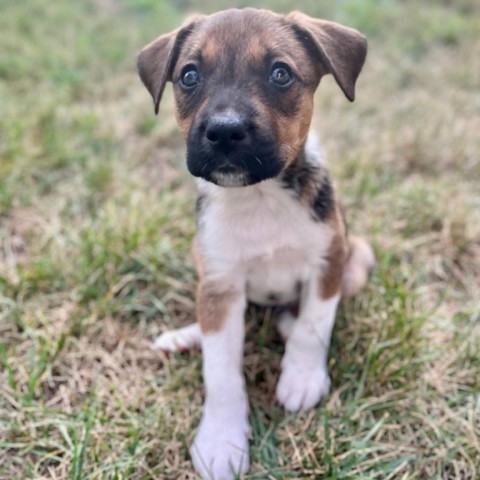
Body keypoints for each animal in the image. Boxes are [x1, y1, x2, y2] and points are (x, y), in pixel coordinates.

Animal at [137, 8, 374, 480]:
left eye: (280, 74)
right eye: (189, 75)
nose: (225, 132)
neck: (259, 197)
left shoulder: (329, 260)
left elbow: (314, 327)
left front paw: (302, 378)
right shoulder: (220, 282)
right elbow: (221, 372)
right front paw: (220, 440)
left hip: (359, 260)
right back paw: (187, 335)